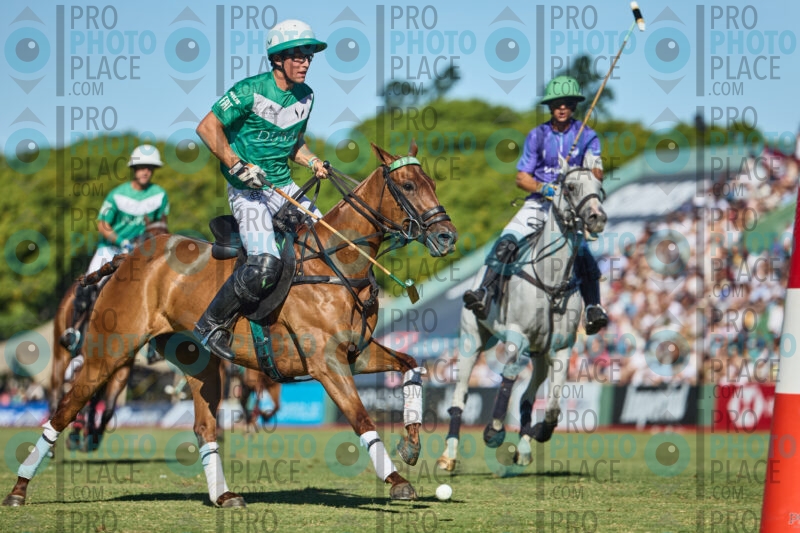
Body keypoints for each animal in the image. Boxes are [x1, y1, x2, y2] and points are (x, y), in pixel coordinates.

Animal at [3, 142, 457, 508]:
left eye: (434, 181)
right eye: (409, 186)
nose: (447, 237)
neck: (337, 263)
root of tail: (129, 259)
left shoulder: (355, 353)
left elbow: (411, 364)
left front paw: (411, 445)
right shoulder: (326, 362)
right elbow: (361, 418)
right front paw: (397, 480)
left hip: (199, 363)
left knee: (204, 426)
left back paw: (223, 495)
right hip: (107, 351)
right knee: (64, 408)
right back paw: (20, 489)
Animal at [436, 167, 607, 471]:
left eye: (600, 185)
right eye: (571, 186)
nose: (597, 217)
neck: (551, 281)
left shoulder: (562, 347)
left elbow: (552, 404)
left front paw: (540, 431)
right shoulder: (518, 334)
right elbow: (508, 375)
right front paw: (493, 431)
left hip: (540, 354)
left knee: (528, 395)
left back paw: (525, 448)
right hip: (471, 338)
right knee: (460, 394)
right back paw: (449, 455)